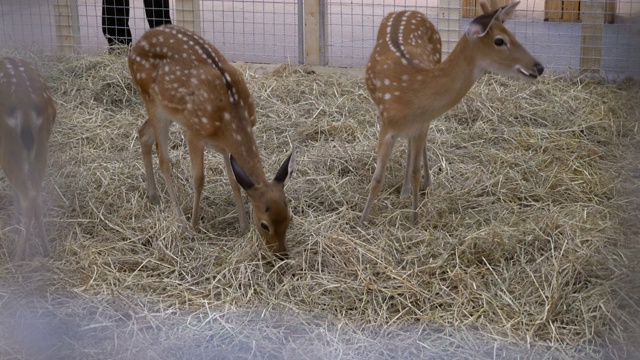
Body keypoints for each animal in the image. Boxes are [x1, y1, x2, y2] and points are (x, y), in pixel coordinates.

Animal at [0, 59, 56, 262]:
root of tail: (25, 107)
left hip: (8, 145)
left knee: (28, 195)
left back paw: (17, 257)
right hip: (41, 143)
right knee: (36, 193)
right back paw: (46, 249)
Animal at [128, 23, 298, 258]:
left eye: (289, 217)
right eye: (265, 224)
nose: (281, 254)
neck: (228, 117)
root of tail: (136, 45)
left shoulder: (226, 147)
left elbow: (234, 181)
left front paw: (243, 229)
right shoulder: (194, 131)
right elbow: (199, 179)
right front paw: (194, 225)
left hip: (167, 111)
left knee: (143, 133)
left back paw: (153, 196)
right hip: (152, 100)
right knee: (164, 160)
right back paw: (179, 219)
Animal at [362, 0, 544, 224]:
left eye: (513, 34)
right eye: (500, 41)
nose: (539, 67)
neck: (411, 90)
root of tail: (407, 10)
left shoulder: (421, 125)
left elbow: (415, 172)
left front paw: (415, 219)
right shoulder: (387, 124)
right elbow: (377, 178)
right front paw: (362, 222)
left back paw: (416, 187)